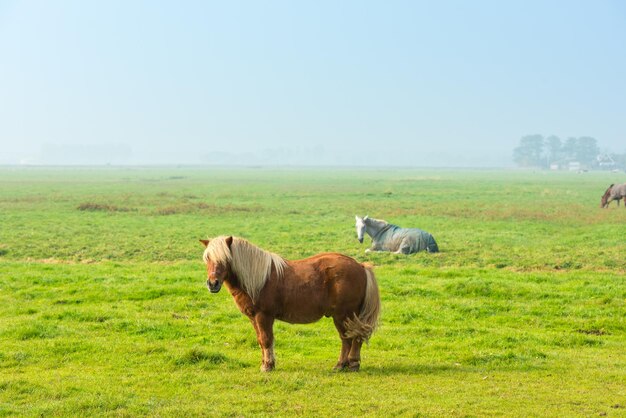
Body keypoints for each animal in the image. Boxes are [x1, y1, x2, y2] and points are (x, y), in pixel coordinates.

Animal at [200, 235, 378, 372]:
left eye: (225, 259)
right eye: (207, 258)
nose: (212, 283)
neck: (259, 279)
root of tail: (360, 266)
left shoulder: (264, 316)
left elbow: (266, 339)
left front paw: (268, 366)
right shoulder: (253, 317)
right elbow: (260, 340)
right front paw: (265, 363)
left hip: (344, 315)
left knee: (351, 338)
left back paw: (348, 364)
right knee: (350, 338)